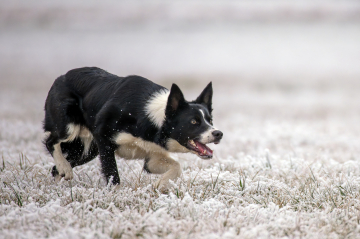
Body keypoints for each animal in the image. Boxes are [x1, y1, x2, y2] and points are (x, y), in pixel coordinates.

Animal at [42, 67, 222, 190]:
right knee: (51, 141)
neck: (150, 117)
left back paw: (58, 185)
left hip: (88, 151)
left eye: (210, 120)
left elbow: (177, 167)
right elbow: (113, 174)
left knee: (55, 169)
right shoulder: (103, 137)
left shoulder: (153, 156)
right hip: (69, 127)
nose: (218, 133)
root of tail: (61, 77)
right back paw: (63, 167)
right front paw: (116, 195)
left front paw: (160, 184)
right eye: (194, 122)